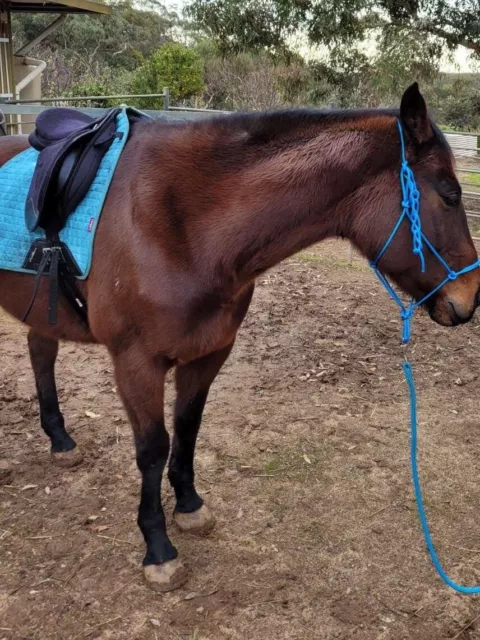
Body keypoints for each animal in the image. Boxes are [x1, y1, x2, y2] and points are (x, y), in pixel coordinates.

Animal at [0, 82, 480, 592]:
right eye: (450, 195)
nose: (470, 298)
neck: (179, 222)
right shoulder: (136, 363)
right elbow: (152, 449)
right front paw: (158, 548)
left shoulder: (209, 352)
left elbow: (187, 427)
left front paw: (189, 506)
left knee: (40, 353)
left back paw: (60, 440)